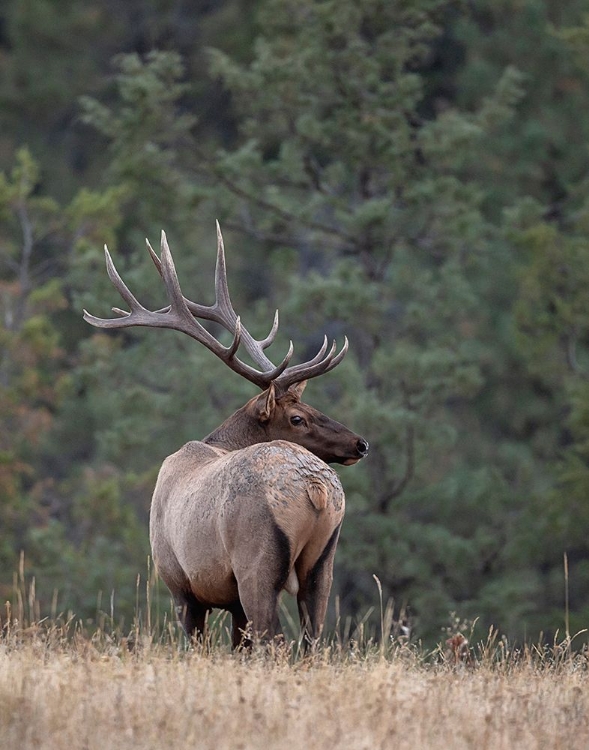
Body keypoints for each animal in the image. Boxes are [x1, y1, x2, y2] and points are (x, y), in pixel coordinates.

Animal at [82, 222, 368, 648]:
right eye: (299, 417)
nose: (360, 443)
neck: (215, 442)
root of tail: (315, 490)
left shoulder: (180, 584)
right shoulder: (227, 601)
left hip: (255, 564)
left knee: (274, 639)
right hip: (322, 565)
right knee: (313, 639)